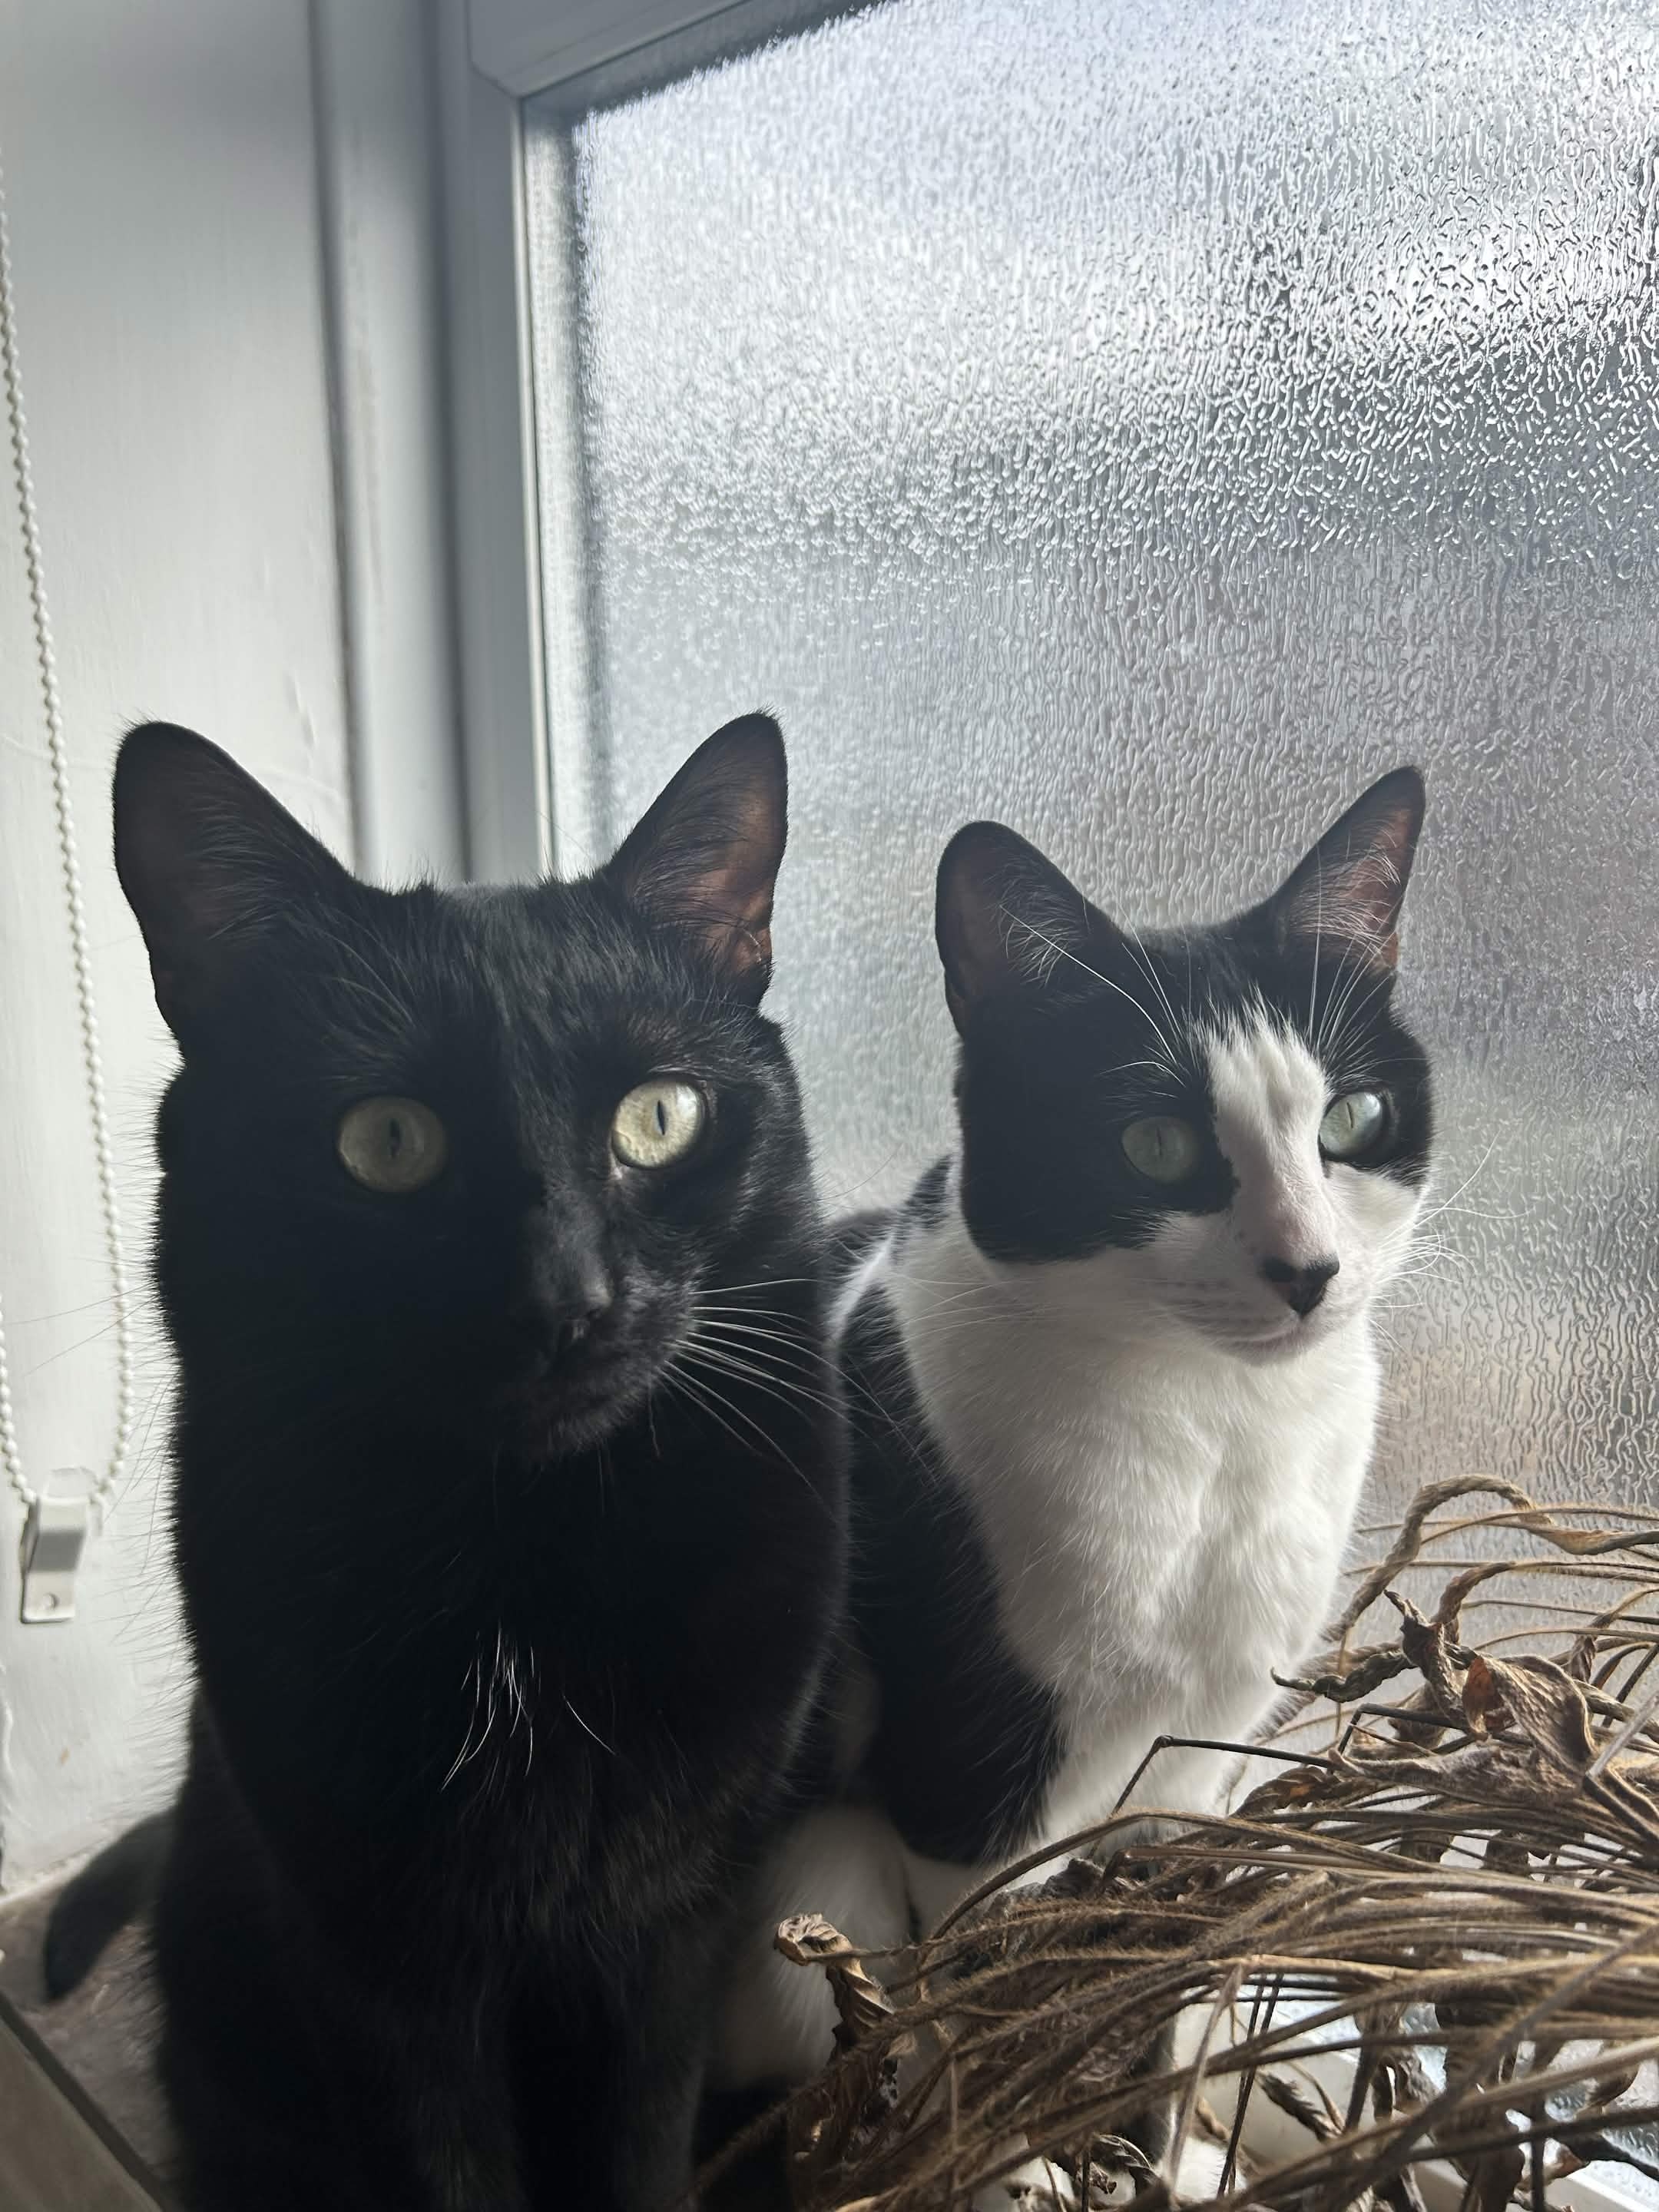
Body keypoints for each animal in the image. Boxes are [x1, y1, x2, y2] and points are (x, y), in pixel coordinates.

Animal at [58, 714, 847, 2212]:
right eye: (387, 1142)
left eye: (659, 1118)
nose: (568, 1301)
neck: (525, 1568)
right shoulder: (375, 1963)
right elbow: (444, 2169)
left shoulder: (673, 1934)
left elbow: (639, 2148)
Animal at [715, 767, 1432, 2096]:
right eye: (1156, 1145)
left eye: (1354, 1119)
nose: (1309, 1270)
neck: (1217, 1429)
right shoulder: (970, 1770)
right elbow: (975, 1995)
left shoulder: (1203, 1756)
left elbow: (1157, 1963)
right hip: (814, 1885)